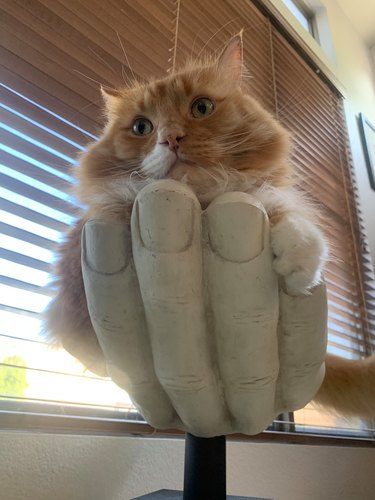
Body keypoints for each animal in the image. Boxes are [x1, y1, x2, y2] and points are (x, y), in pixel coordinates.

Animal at [45, 33, 375, 420]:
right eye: (142, 127)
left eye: (201, 108)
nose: (171, 137)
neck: (200, 194)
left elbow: (277, 207)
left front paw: (300, 258)